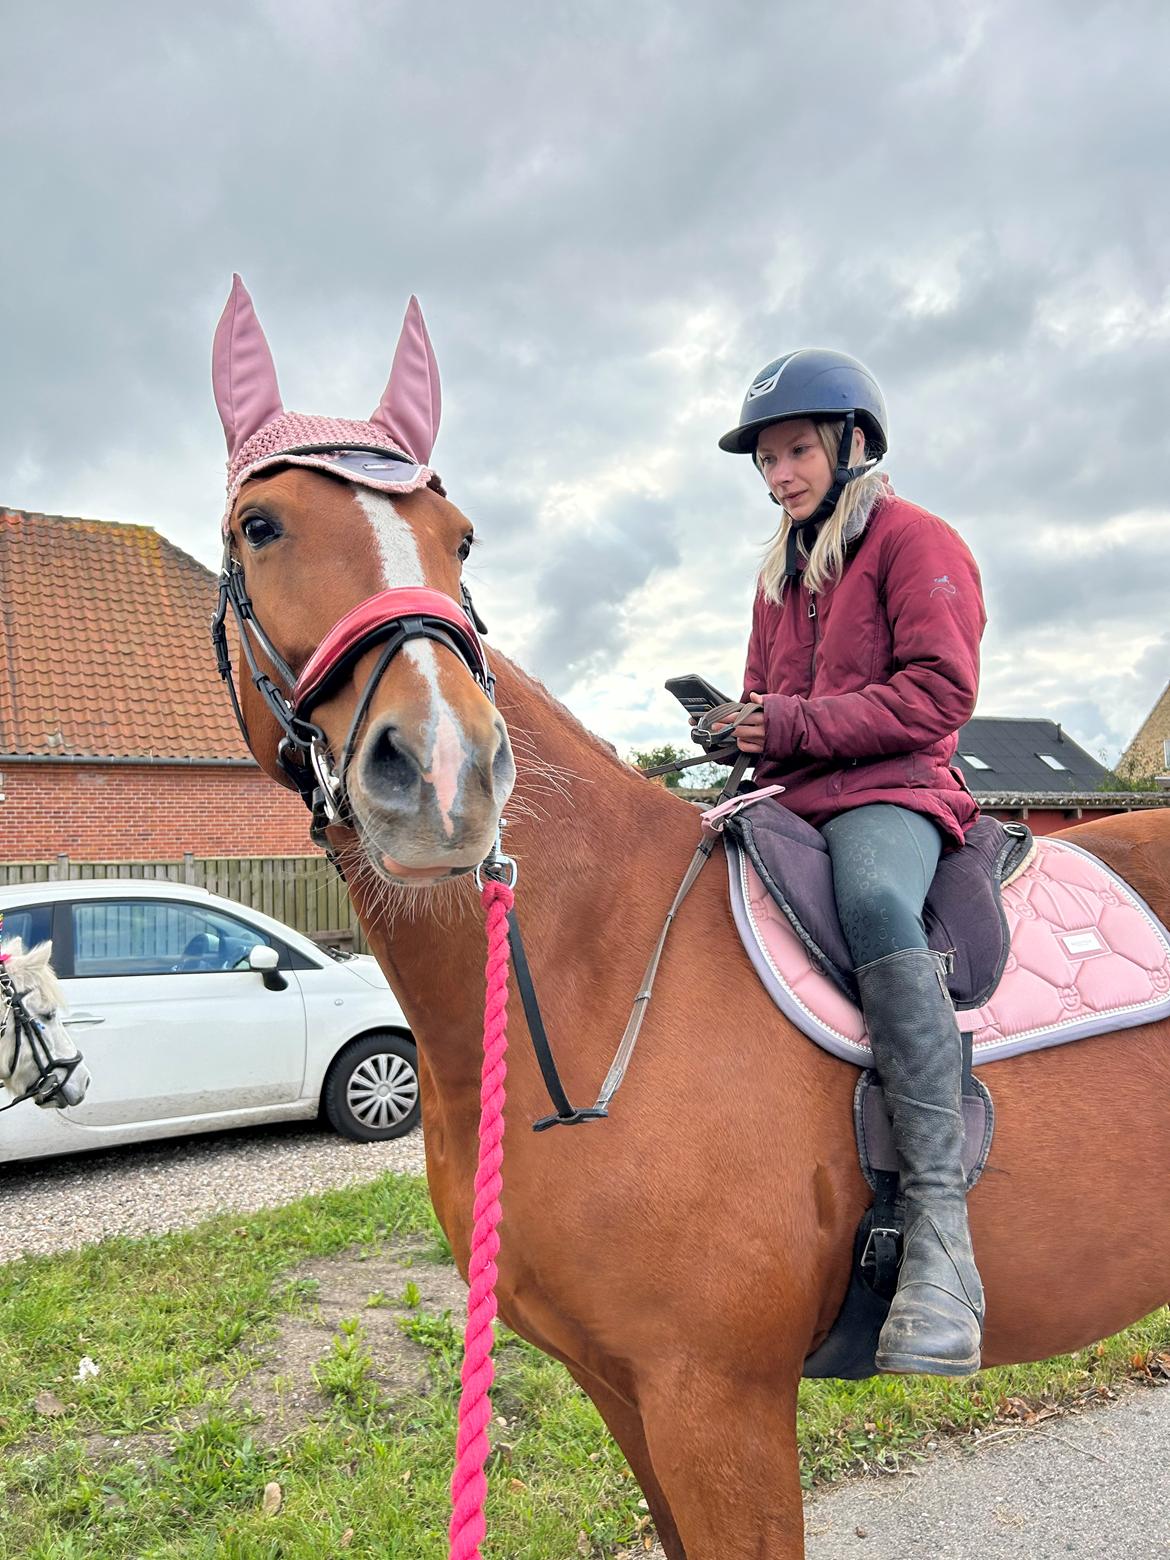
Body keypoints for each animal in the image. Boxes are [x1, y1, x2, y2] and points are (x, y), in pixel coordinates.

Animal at [215, 329, 1170, 1560]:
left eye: (458, 537)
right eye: (261, 525)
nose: (442, 773)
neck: (601, 971)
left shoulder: (715, 1401)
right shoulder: (621, 1388)